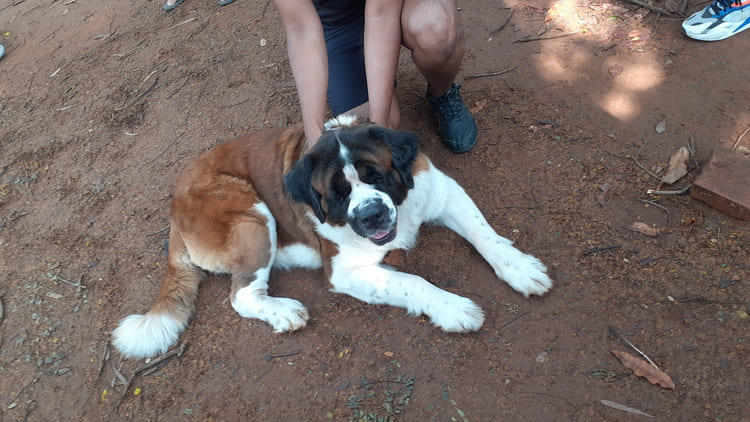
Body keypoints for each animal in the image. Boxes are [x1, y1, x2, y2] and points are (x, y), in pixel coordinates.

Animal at [114, 116, 556, 360]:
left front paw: (520, 268)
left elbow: (485, 235)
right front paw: (453, 308)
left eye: (376, 176)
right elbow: (413, 282)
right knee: (242, 295)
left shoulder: (443, 191)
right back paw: (283, 312)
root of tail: (173, 205)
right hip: (252, 215)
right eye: (339, 194)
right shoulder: (346, 270)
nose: (372, 214)